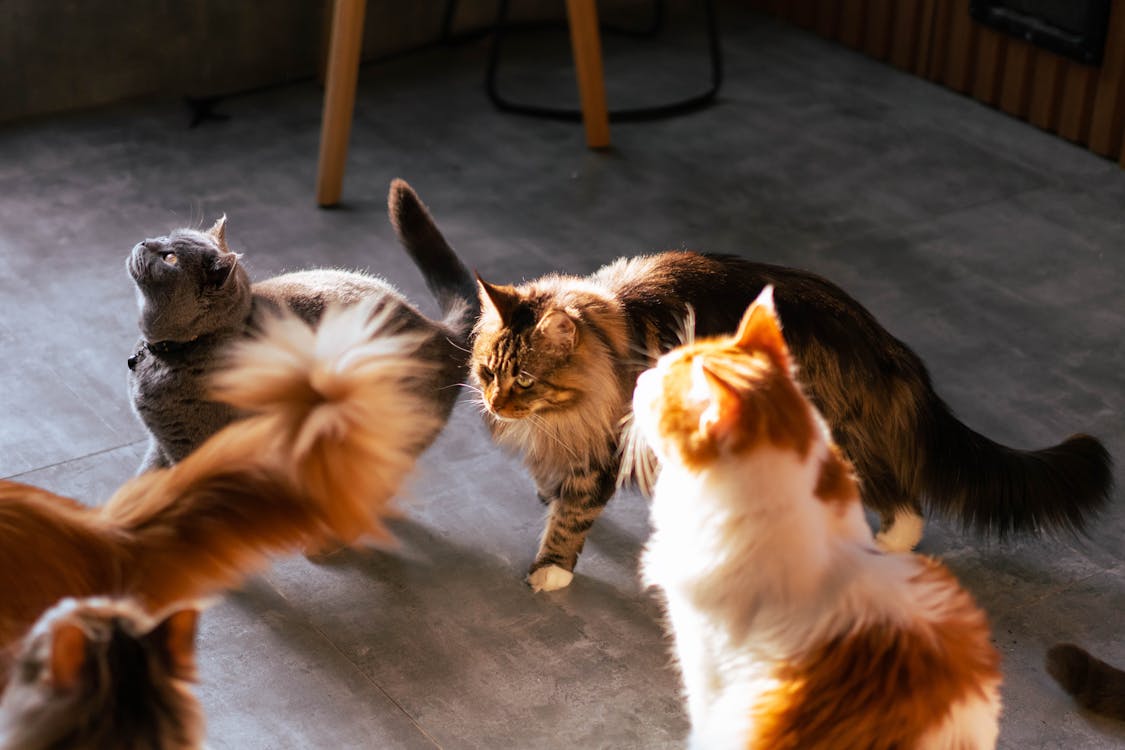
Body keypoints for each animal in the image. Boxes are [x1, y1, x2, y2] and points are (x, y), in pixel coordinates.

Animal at [128, 179, 474, 474]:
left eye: (170, 258)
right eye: (166, 236)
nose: (144, 241)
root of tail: (439, 330)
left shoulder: (193, 448)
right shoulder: (160, 445)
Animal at [470, 251, 1111, 593]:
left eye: (524, 380)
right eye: (487, 372)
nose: (497, 405)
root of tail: (881, 339)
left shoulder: (602, 446)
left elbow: (571, 517)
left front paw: (550, 571)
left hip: (829, 436)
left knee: (903, 507)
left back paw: (877, 543)